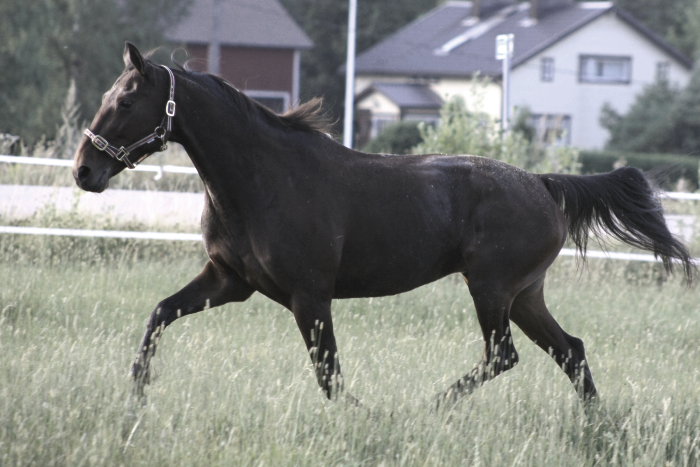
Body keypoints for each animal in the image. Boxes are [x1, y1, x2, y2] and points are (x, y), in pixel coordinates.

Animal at [73, 43, 694, 407]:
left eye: (125, 101)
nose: (84, 170)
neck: (263, 179)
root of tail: (543, 184)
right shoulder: (231, 281)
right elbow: (159, 314)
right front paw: (136, 394)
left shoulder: (309, 296)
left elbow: (329, 376)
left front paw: (360, 417)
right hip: (524, 294)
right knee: (571, 351)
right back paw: (597, 428)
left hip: (491, 288)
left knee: (505, 356)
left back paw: (428, 409)